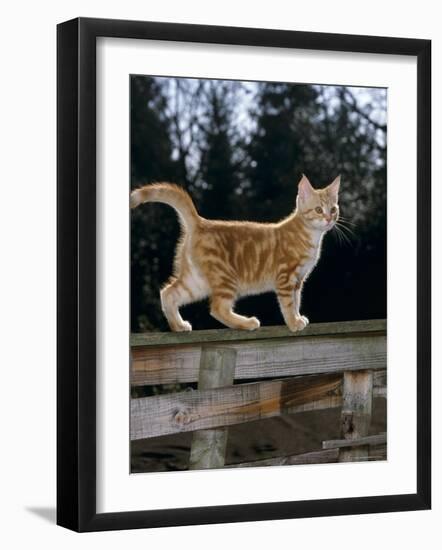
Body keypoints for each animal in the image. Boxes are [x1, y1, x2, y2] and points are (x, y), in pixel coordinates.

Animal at [129, 175, 340, 334]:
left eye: (333, 209)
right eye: (319, 209)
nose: (329, 218)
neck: (311, 237)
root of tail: (201, 222)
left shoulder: (298, 281)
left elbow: (296, 301)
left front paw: (297, 317)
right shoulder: (286, 277)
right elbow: (288, 303)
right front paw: (293, 322)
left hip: (196, 281)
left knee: (168, 293)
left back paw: (178, 325)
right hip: (226, 278)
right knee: (217, 308)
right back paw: (247, 323)